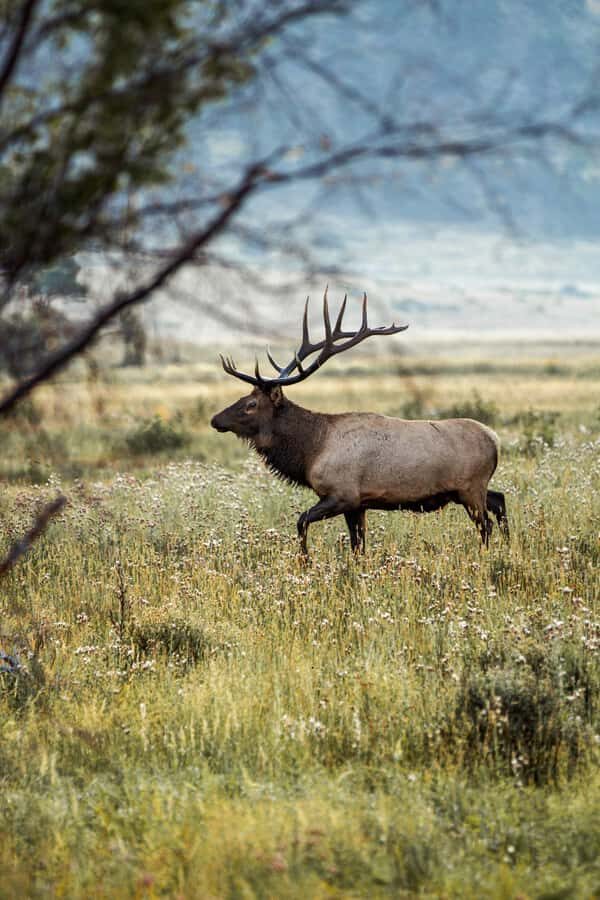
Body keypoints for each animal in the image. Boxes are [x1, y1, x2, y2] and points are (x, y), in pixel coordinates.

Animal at [211, 290, 509, 557]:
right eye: (244, 397)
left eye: (251, 404)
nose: (215, 419)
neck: (310, 451)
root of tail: (495, 439)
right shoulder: (358, 504)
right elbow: (358, 547)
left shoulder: (342, 494)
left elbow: (302, 521)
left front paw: (305, 560)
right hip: (472, 489)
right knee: (500, 500)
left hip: (470, 488)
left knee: (486, 525)